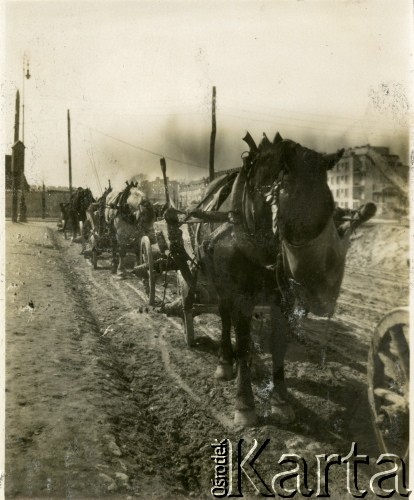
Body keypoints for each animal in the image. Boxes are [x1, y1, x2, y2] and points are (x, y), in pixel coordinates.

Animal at [192, 133, 374, 426]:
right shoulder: (241, 294)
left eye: (330, 205)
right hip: (220, 283)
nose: (317, 287)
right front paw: (244, 403)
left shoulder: (282, 299)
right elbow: (243, 342)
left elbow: (278, 345)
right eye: (291, 203)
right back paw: (226, 362)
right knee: (225, 317)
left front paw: (279, 399)